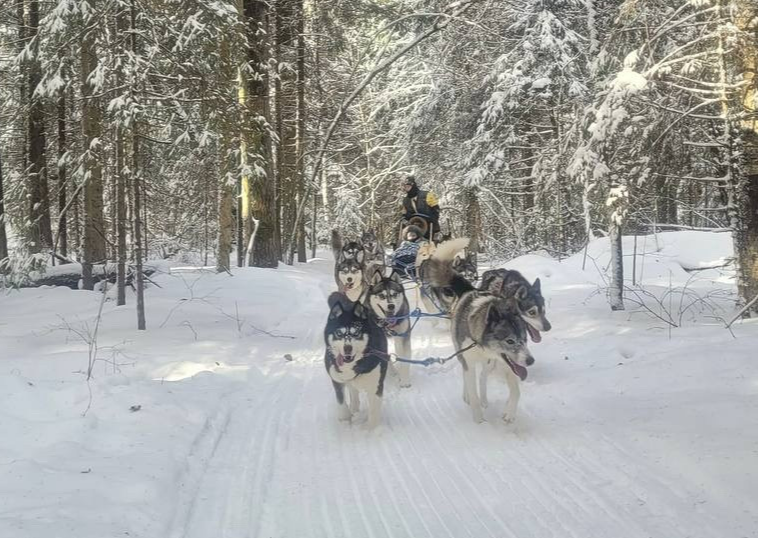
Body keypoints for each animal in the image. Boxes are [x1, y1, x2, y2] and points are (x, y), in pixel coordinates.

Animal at [324, 288, 388, 428]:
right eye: (339, 333)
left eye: (356, 333)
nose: (347, 348)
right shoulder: (336, 380)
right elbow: (341, 402)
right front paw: (345, 420)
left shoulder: (375, 386)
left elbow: (373, 412)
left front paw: (371, 430)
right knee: (352, 392)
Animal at [428, 237, 536, 420]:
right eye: (510, 340)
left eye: (525, 339)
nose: (530, 361)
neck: (479, 343)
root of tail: (469, 290)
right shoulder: (469, 362)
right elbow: (472, 390)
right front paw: (479, 419)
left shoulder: (507, 362)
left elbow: (516, 391)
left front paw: (509, 413)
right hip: (462, 356)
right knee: (466, 377)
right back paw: (468, 397)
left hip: (488, 363)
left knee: (483, 377)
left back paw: (484, 399)